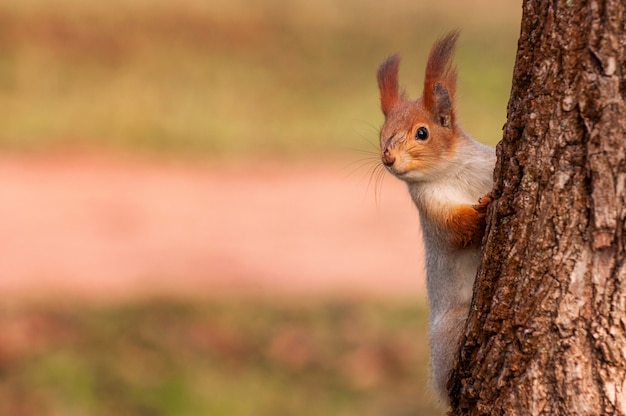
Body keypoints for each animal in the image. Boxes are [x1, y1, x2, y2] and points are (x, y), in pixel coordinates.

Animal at [372, 30, 494, 404]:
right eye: (381, 135)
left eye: (422, 133)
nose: (388, 158)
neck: (455, 170)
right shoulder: (431, 207)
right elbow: (457, 229)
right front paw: (485, 208)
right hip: (454, 327)